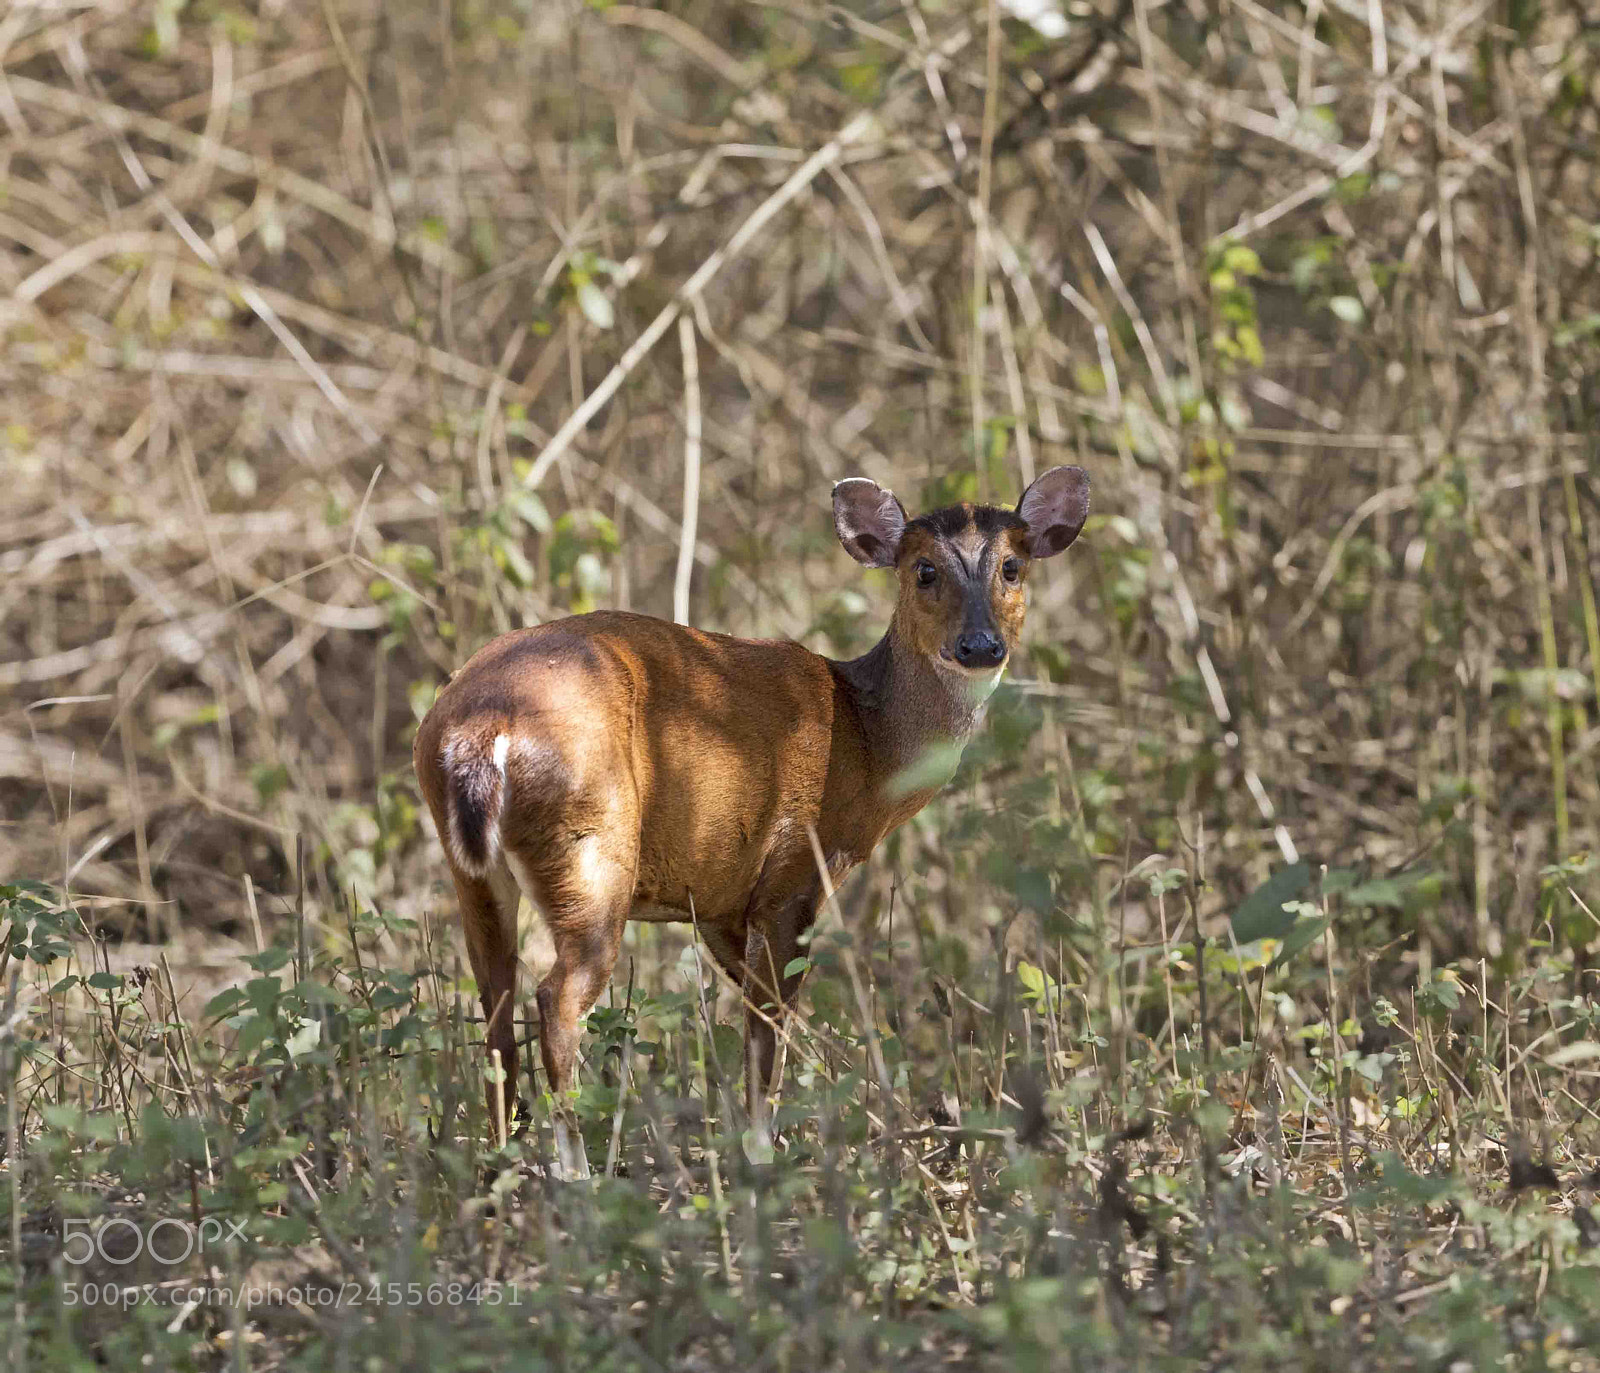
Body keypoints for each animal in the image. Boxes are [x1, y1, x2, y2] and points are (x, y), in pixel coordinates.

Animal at [413, 465, 1090, 1177]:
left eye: (1012, 566)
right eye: (924, 570)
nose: (980, 645)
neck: (865, 740)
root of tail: (478, 730)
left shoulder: (717, 894)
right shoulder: (792, 873)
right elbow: (768, 1030)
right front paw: (766, 1155)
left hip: (474, 875)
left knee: (494, 1005)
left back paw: (500, 1163)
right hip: (592, 849)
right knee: (555, 1000)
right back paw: (575, 1172)